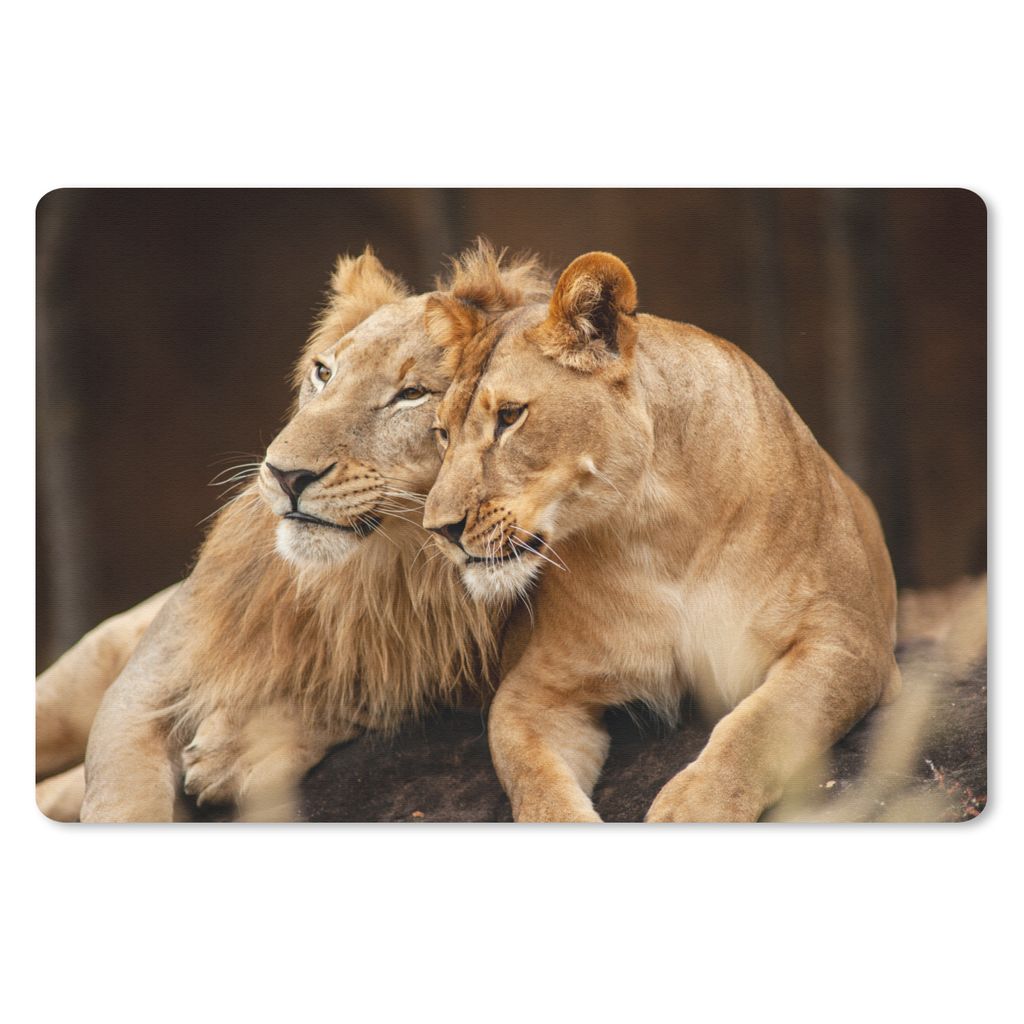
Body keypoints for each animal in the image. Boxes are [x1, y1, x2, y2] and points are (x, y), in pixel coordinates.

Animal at [38, 242, 550, 822]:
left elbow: (368, 692)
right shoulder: (143, 687)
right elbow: (123, 802)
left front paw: (235, 751)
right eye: (324, 372)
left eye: (413, 394)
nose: (285, 475)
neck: (381, 570)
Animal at [422, 251, 902, 822]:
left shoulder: (849, 640)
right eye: (442, 433)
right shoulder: (537, 688)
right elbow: (533, 777)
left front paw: (693, 809)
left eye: (510, 416)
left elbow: (760, 725)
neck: (657, 528)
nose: (439, 529)